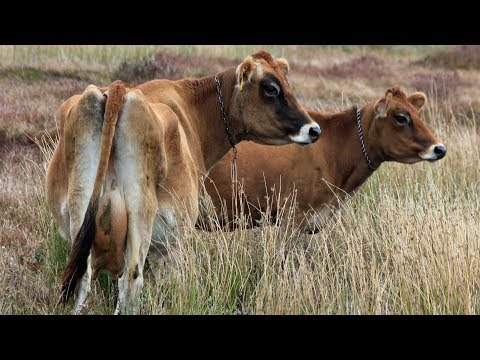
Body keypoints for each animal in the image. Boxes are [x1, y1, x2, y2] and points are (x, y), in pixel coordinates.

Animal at [47, 50, 320, 312]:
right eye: (271, 88)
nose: (314, 129)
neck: (192, 113)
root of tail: (119, 89)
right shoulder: (173, 243)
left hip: (80, 213)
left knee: (82, 279)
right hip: (142, 214)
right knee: (131, 280)